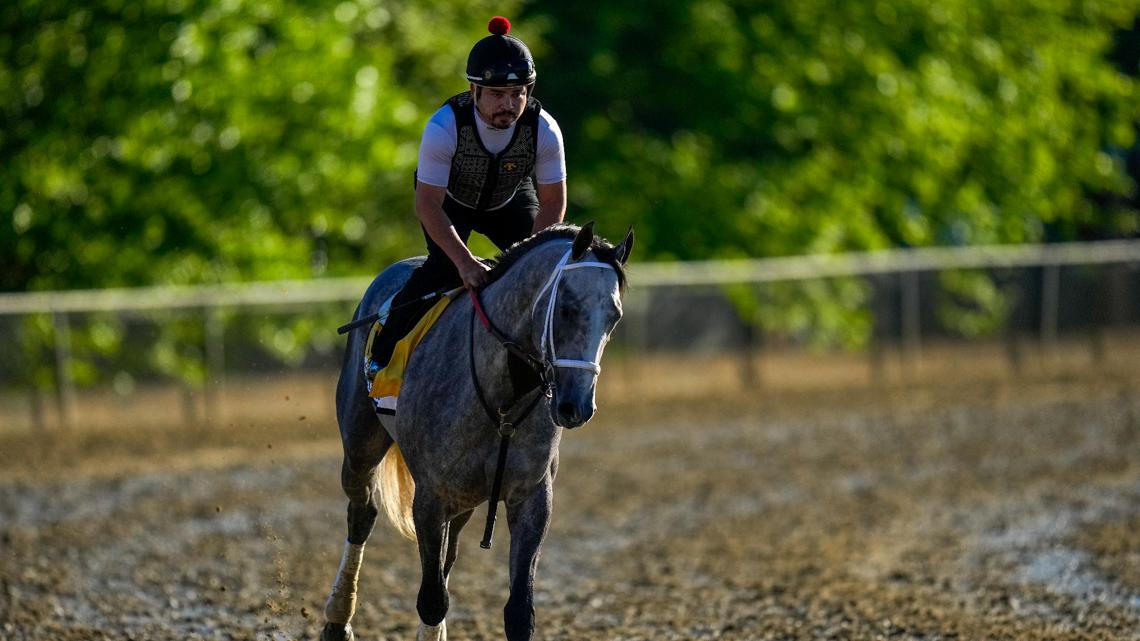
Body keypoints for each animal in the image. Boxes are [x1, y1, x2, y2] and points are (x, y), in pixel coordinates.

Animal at [321, 223, 633, 638]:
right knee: (363, 512)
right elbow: (431, 599)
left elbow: (518, 611)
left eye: (614, 316)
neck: (503, 392)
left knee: (446, 553)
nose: (576, 405)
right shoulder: (430, 498)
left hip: (465, 495)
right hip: (360, 446)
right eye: (567, 308)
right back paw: (337, 619)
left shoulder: (531, 497)